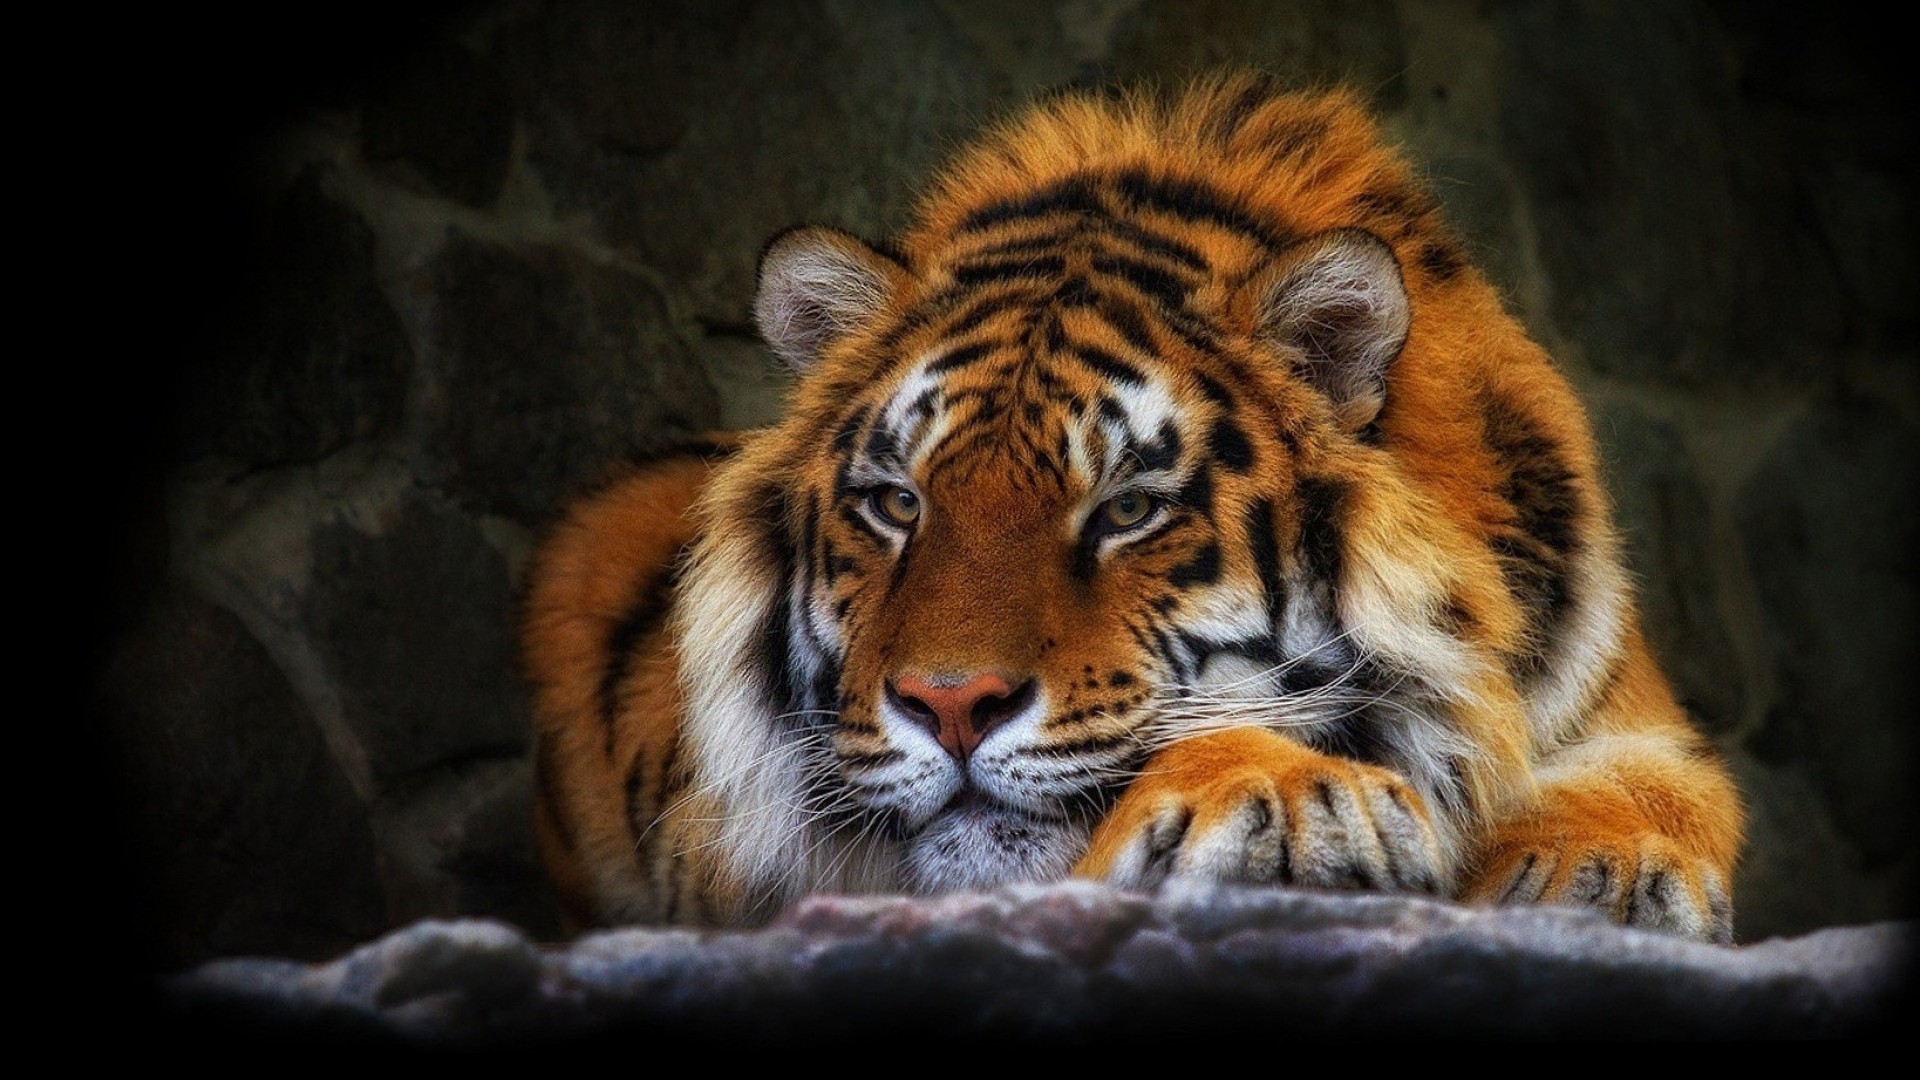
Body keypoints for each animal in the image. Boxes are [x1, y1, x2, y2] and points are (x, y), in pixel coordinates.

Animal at [522, 74, 1745, 942]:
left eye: (1126, 511)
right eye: (897, 504)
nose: (949, 706)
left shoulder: (1625, 708)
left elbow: (1662, 788)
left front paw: (1597, 870)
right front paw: (1290, 797)